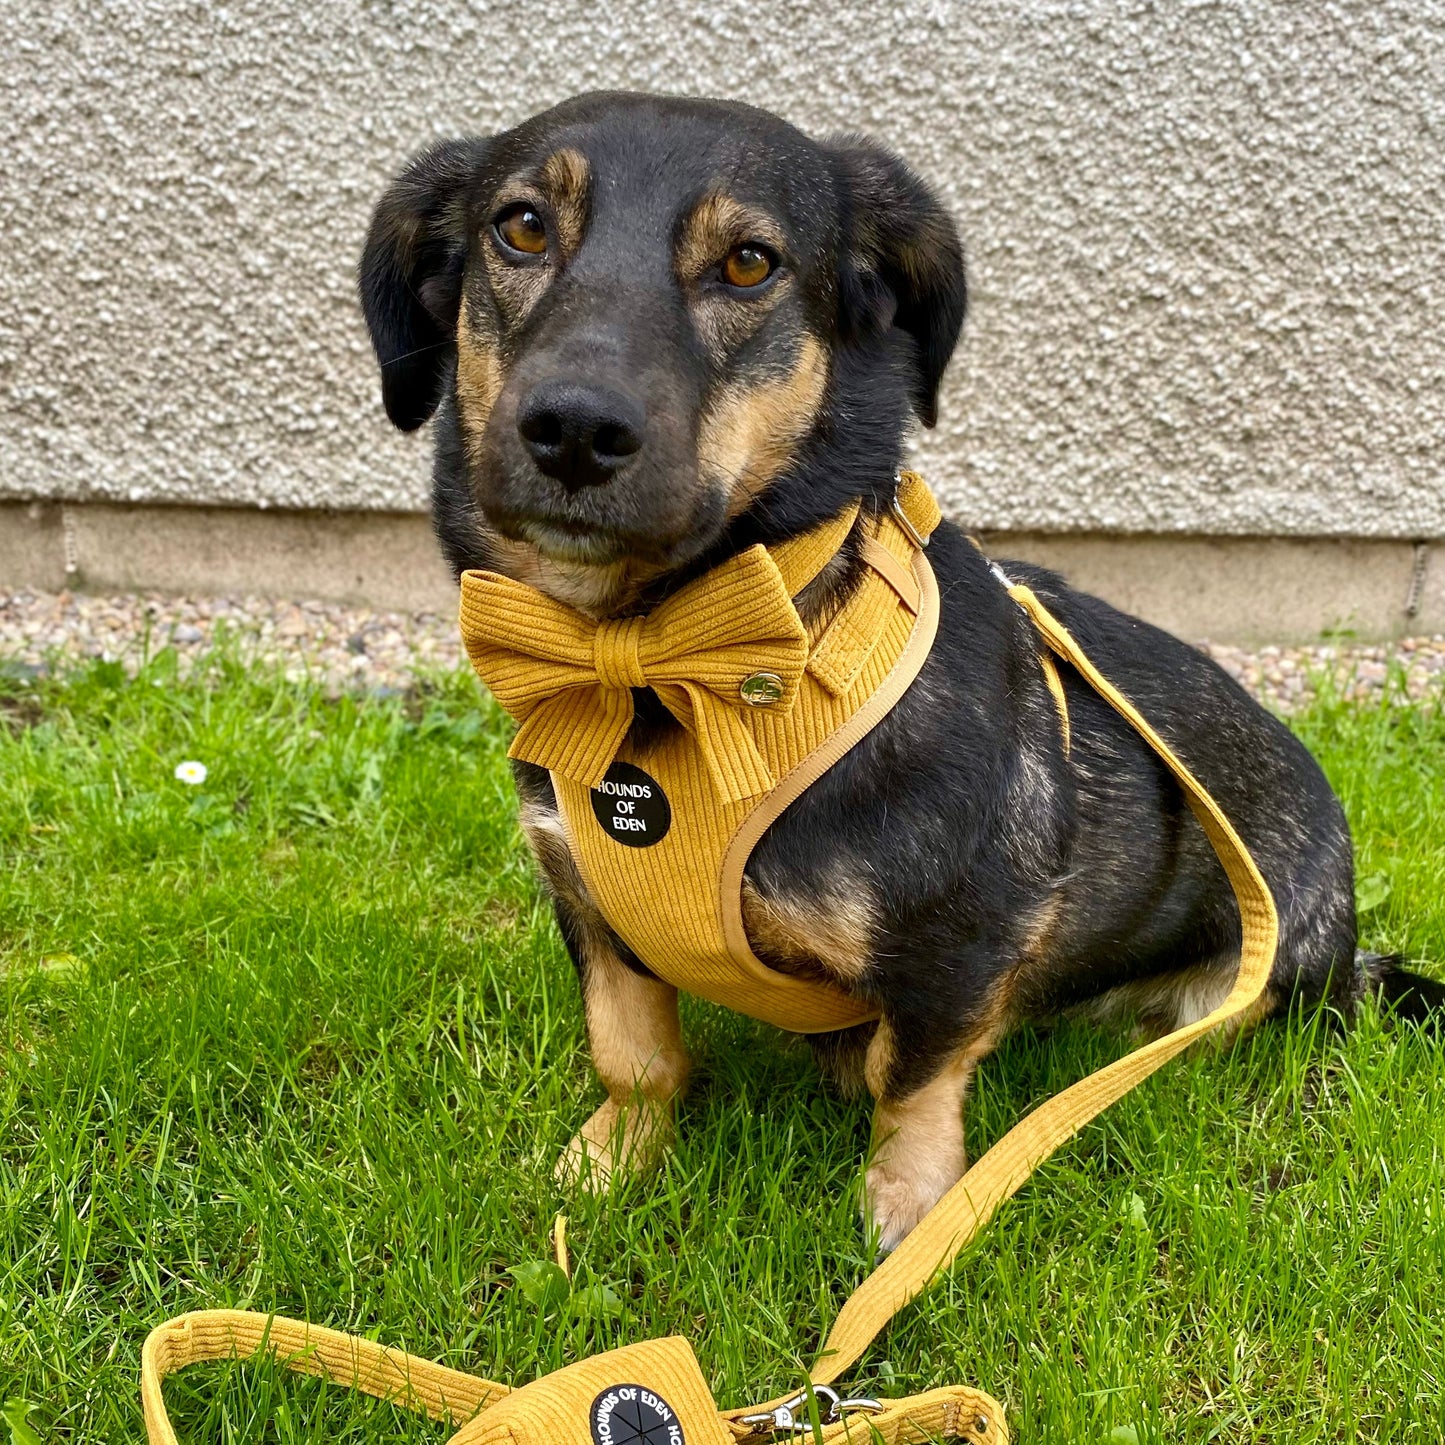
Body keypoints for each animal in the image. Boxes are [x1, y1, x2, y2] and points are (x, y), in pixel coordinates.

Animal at [358, 96, 1433, 1254]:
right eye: (518, 227)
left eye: (749, 261)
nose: (573, 429)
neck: (671, 660)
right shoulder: (596, 911)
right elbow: (633, 1050)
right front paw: (610, 1162)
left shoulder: (963, 937)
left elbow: (909, 1076)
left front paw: (912, 1205)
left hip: (1249, 983)